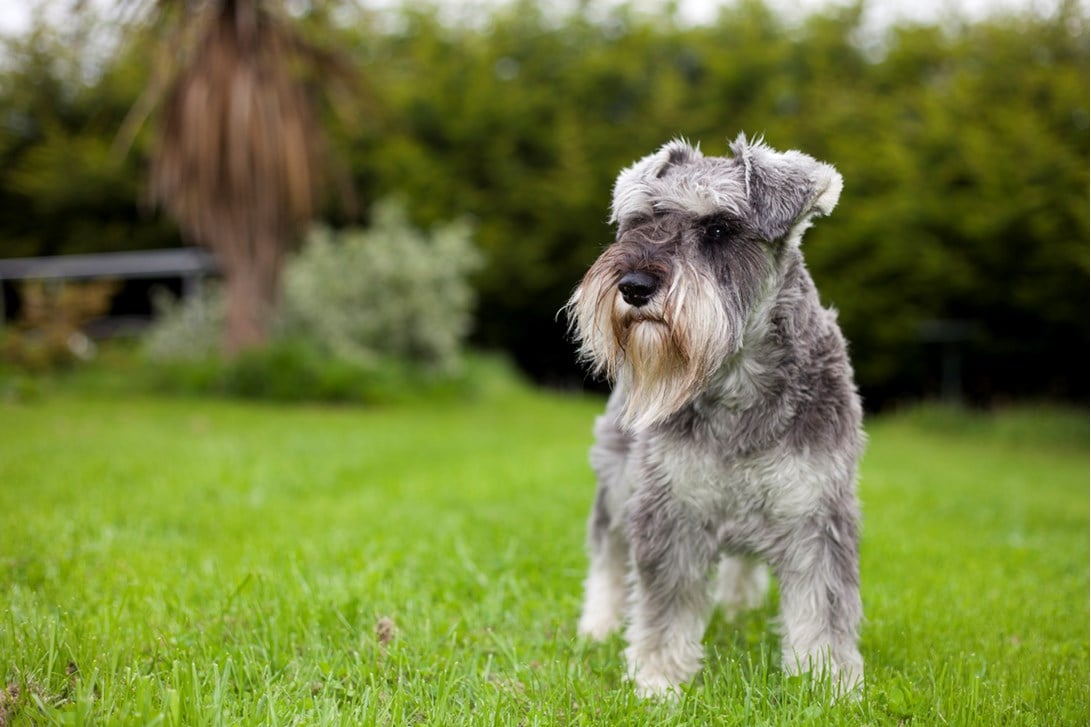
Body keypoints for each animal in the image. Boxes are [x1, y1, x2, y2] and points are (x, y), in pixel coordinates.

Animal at [567, 133, 864, 694]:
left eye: (719, 229)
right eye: (640, 221)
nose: (634, 285)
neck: (737, 383)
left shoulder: (816, 512)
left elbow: (823, 607)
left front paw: (827, 683)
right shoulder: (670, 509)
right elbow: (665, 606)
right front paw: (657, 681)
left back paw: (738, 607)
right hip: (617, 482)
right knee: (607, 554)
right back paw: (598, 625)